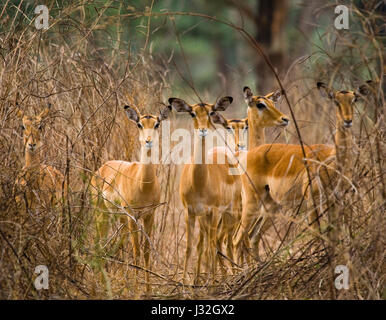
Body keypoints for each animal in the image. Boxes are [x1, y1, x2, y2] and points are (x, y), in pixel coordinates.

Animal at [91, 104, 170, 292]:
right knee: (100, 240)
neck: (143, 183)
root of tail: (102, 167)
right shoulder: (133, 216)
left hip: (120, 218)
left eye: (157, 124)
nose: (148, 140)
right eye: (139, 124)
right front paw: (135, 287)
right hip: (102, 213)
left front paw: (147, 289)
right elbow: (136, 251)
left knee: (117, 242)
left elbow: (146, 251)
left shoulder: (149, 215)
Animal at [232, 81, 370, 262]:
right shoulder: (312, 202)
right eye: (336, 101)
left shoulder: (335, 201)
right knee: (237, 239)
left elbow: (334, 234)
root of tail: (249, 153)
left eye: (354, 100)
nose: (348, 121)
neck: (331, 159)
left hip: (272, 206)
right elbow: (318, 234)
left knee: (252, 236)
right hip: (252, 203)